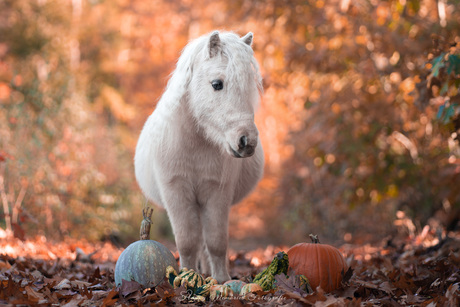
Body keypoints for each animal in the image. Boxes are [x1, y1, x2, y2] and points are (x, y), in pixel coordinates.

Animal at [134, 31, 262, 284]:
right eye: (217, 84)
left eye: (249, 86)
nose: (247, 142)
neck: (195, 146)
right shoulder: (177, 193)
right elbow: (187, 242)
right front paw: (186, 277)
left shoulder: (217, 194)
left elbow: (216, 242)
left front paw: (221, 280)